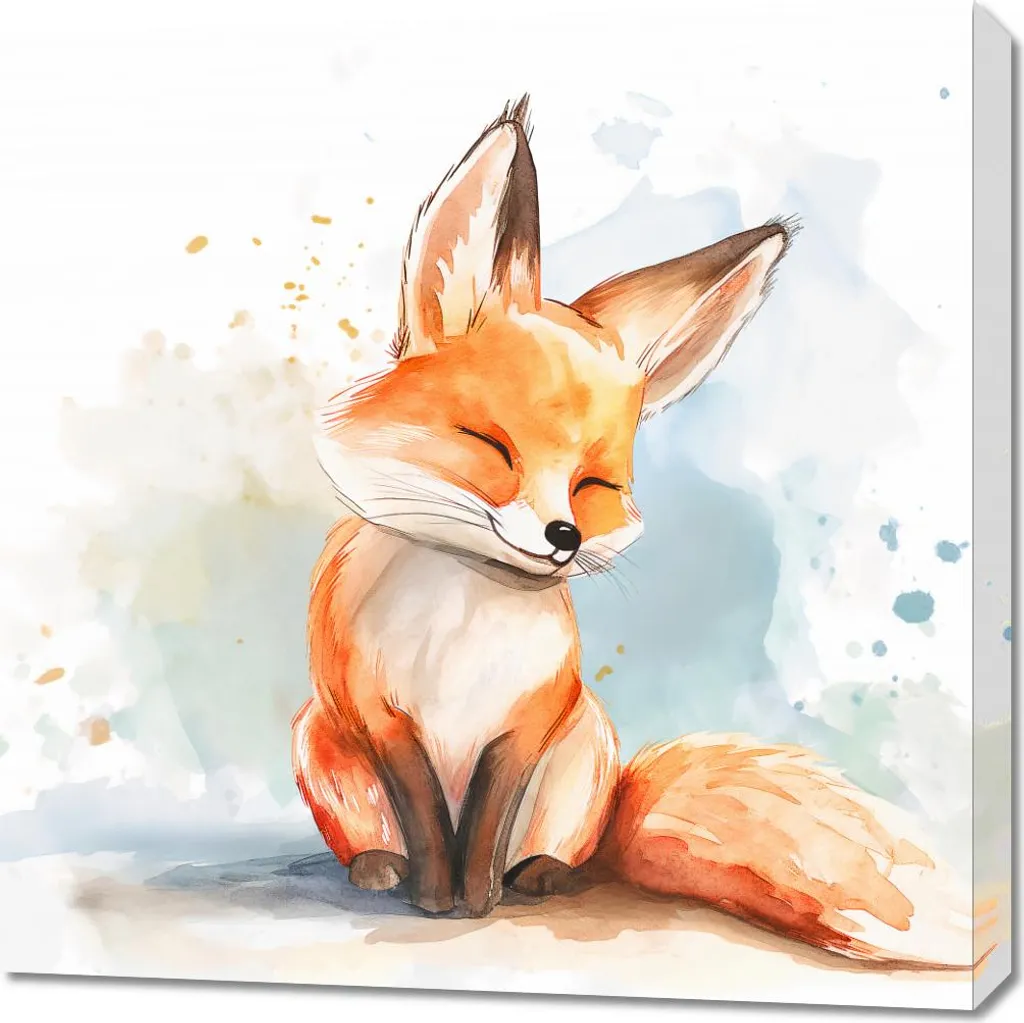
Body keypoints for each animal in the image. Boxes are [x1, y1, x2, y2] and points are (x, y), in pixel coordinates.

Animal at [293, 97, 983, 969]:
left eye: (594, 486)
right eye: (492, 446)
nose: (560, 534)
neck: (464, 607)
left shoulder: (526, 720)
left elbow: (482, 823)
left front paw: (474, 899)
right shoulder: (381, 716)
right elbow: (425, 815)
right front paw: (435, 897)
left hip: (584, 749)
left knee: (559, 851)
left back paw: (540, 875)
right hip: (319, 741)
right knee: (377, 837)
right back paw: (380, 867)